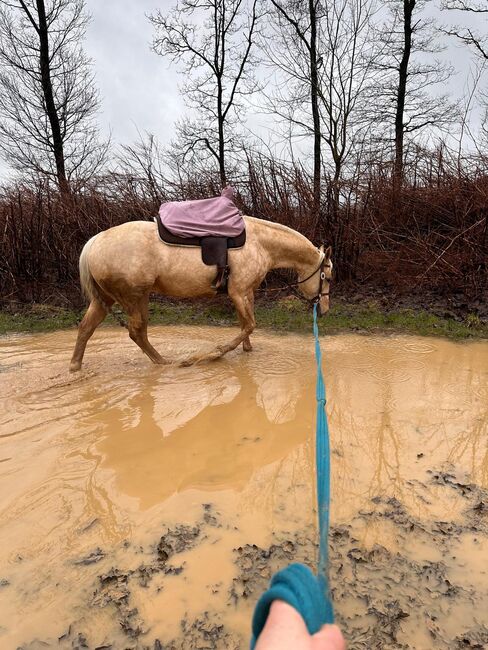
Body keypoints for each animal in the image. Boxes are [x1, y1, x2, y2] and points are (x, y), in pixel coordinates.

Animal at [69, 215, 332, 370]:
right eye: (327, 278)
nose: (325, 310)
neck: (260, 243)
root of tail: (96, 241)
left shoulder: (245, 293)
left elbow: (244, 325)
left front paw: (247, 350)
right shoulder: (238, 292)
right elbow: (249, 325)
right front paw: (212, 355)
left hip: (109, 299)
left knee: (86, 328)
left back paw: (75, 367)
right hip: (133, 298)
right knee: (137, 332)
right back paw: (165, 362)